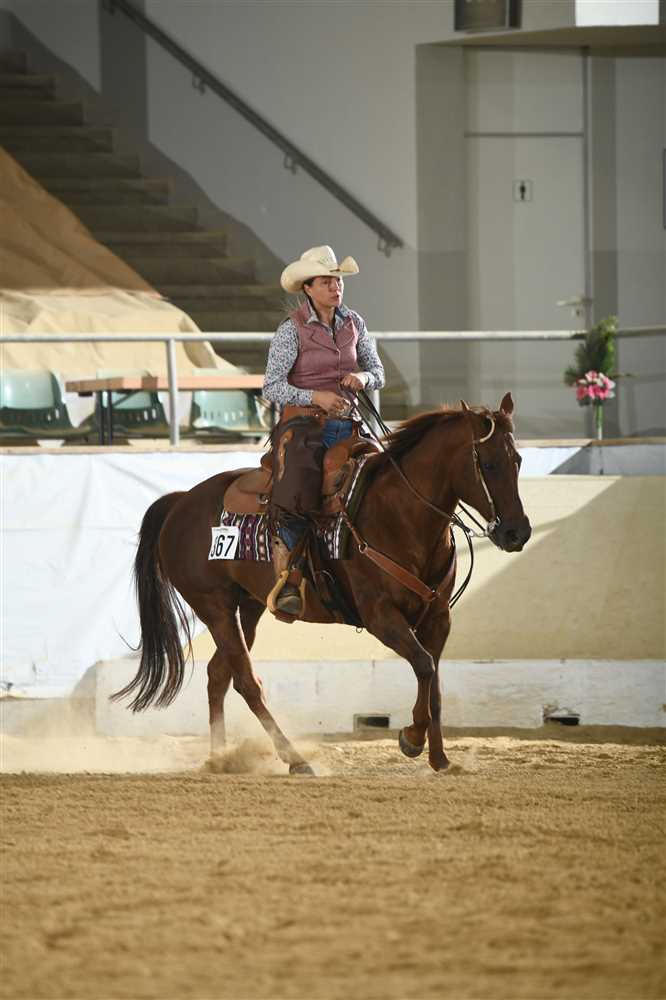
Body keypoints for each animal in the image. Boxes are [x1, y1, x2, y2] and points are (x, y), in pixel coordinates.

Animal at [113, 392, 531, 773]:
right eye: (488, 463)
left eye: (518, 460)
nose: (517, 532)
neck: (399, 515)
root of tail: (181, 501)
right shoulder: (380, 616)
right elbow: (425, 666)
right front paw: (412, 739)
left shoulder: (438, 616)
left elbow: (436, 685)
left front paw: (440, 759)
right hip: (214, 606)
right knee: (246, 682)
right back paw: (294, 759)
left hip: (247, 607)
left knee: (219, 675)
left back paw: (221, 759)